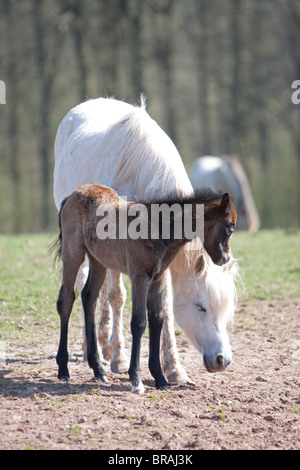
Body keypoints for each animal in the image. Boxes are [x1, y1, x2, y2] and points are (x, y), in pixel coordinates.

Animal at [52, 97, 238, 384]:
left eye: (226, 309)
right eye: (201, 307)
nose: (222, 360)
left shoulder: (158, 270)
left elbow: (163, 311)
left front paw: (172, 369)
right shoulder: (128, 263)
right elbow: (119, 298)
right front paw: (122, 360)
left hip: (97, 257)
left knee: (89, 296)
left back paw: (98, 357)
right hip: (78, 252)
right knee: (75, 293)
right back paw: (86, 356)